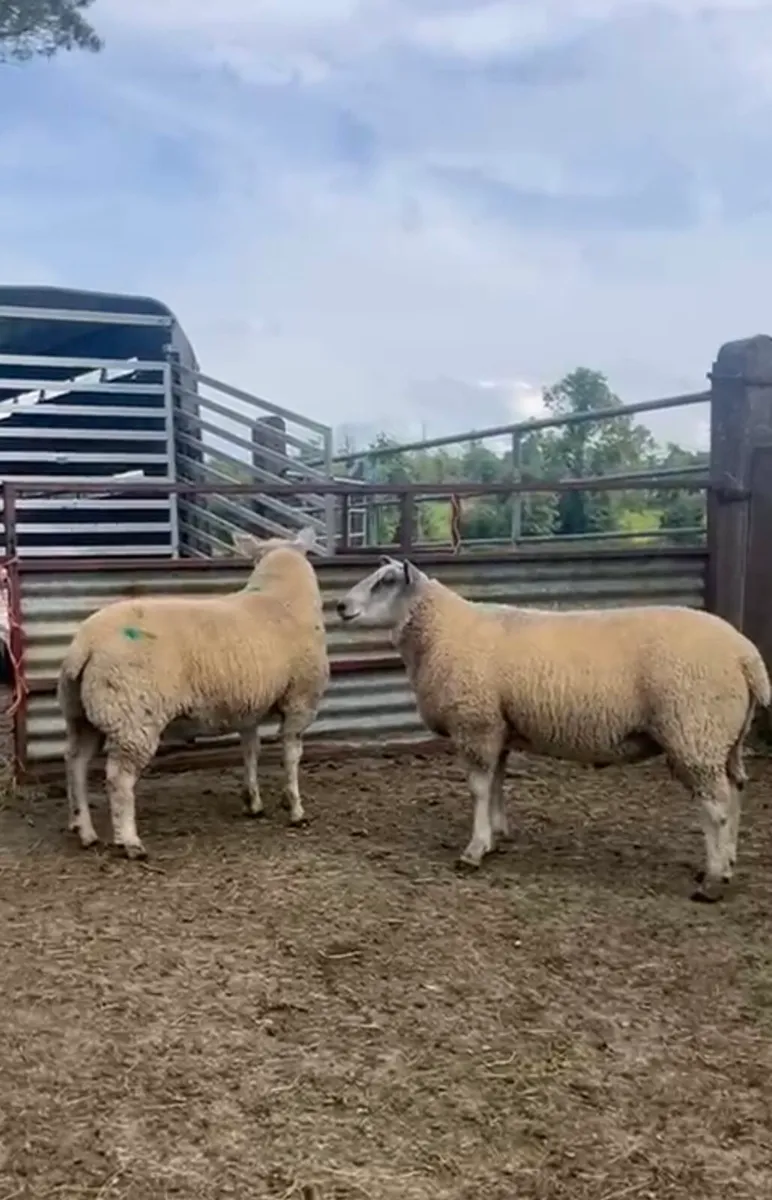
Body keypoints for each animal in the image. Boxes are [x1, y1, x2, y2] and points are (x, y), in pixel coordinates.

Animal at [57, 526, 329, 859]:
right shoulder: (301, 701)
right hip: (133, 716)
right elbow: (291, 757)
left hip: (82, 713)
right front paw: (296, 809)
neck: (279, 596)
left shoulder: (248, 706)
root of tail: (85, 645)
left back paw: (84, 829)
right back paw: (130, 841)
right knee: (118, 778)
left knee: (75, 762)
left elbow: (250, 751)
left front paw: (253, 802)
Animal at [337, 557, 771, 901]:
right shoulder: (498, 726)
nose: (340, 605)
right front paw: (498, 834)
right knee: (734, 792)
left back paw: (712, 880)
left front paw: (475, 849)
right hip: (724, 739)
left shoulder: (475, 724)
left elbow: (479, 789)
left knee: (715, 806)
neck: (441, 630)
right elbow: (497, 782)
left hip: (694, 731)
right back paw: (727, 861)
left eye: (386, 581)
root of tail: (746, 656)